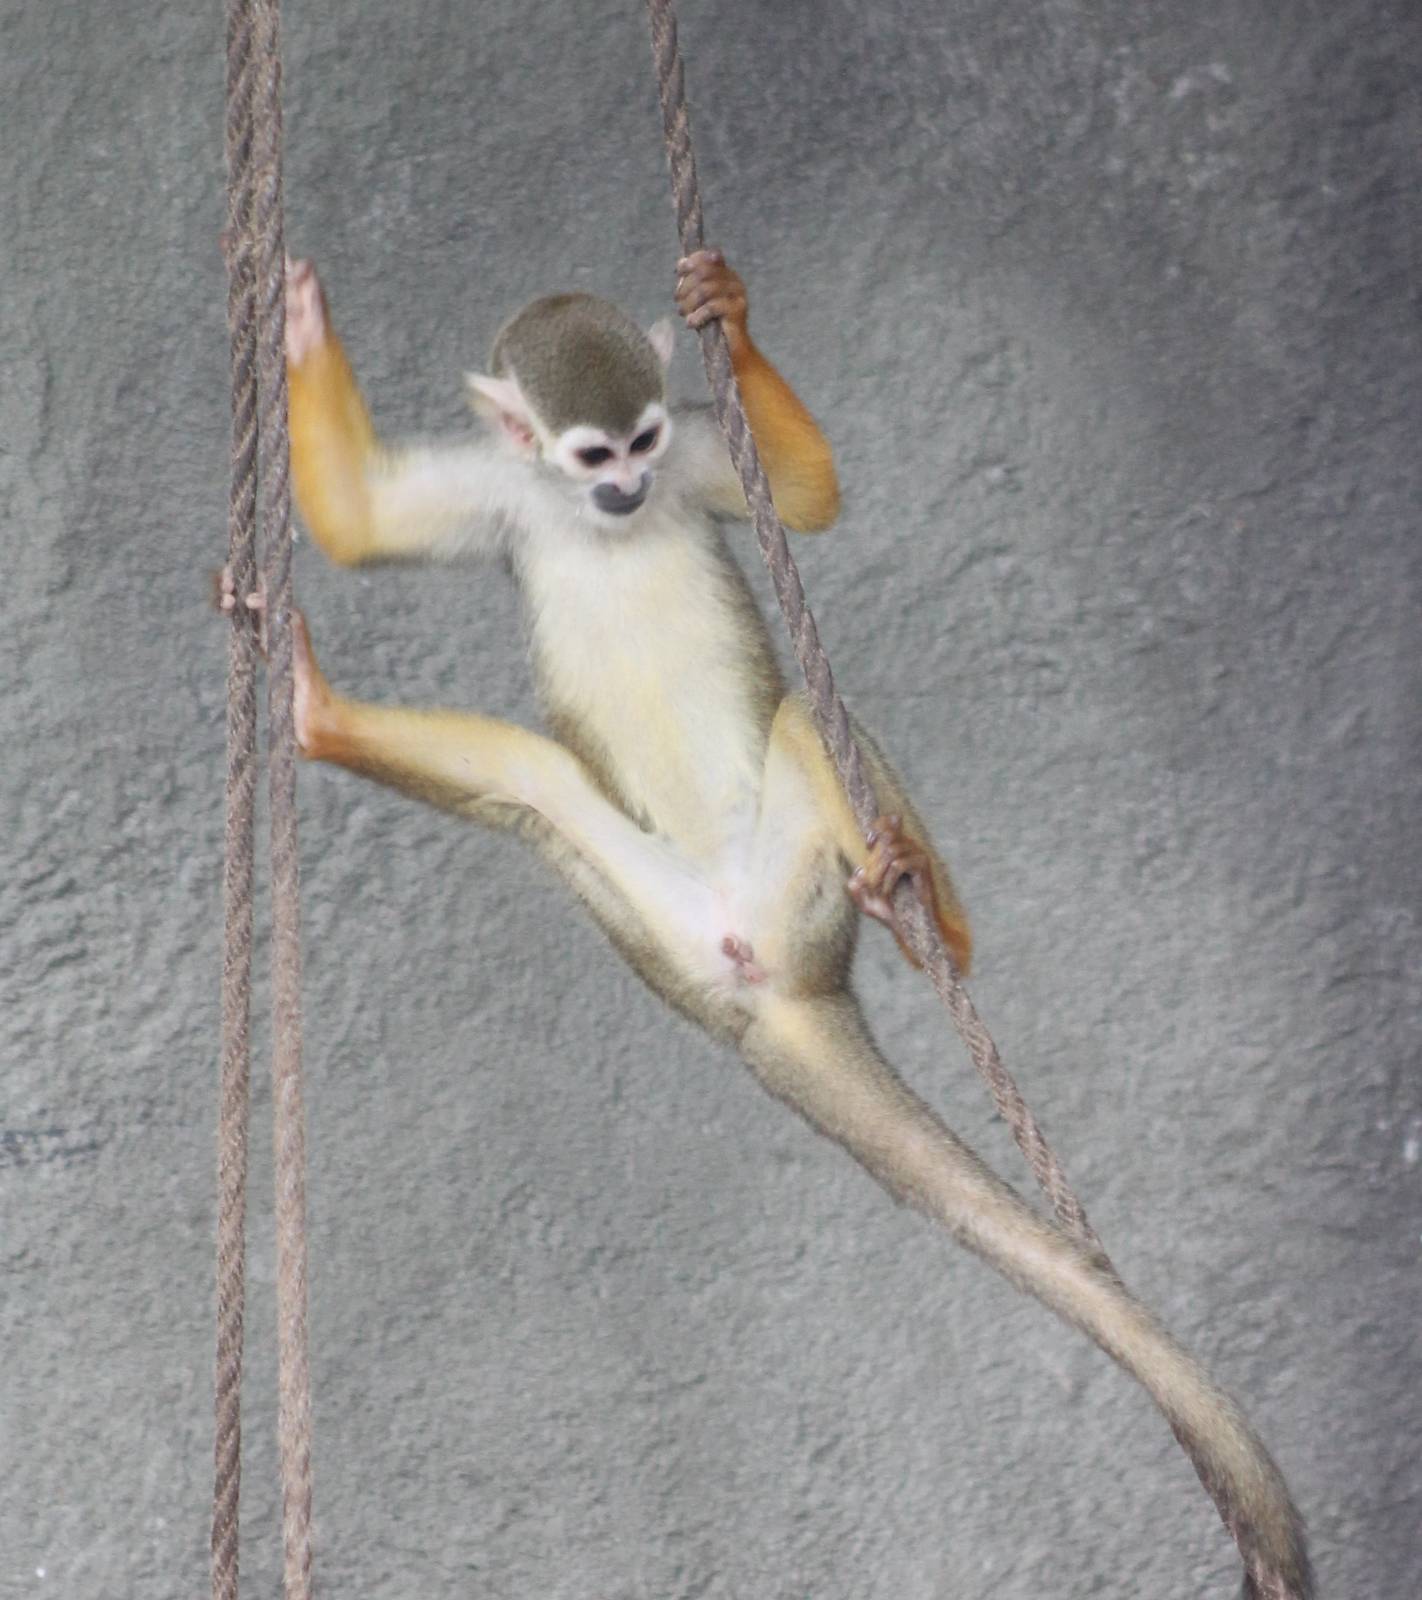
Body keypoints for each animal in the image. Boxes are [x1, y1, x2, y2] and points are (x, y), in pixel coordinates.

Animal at [279, 249, 1311, 1599]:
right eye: (589, 457)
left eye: (646, 443)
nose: (627, 491)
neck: (594, 507)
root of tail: (763, 981)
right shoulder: (504, 490)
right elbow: (357, 526)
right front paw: (301, 327)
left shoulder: (700, 455)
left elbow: (812, 503)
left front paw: (729, 304)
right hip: (638, 905)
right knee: (540, 784)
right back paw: (324, 722)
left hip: (795, 889)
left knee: (805, 724)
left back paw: (924, 909)